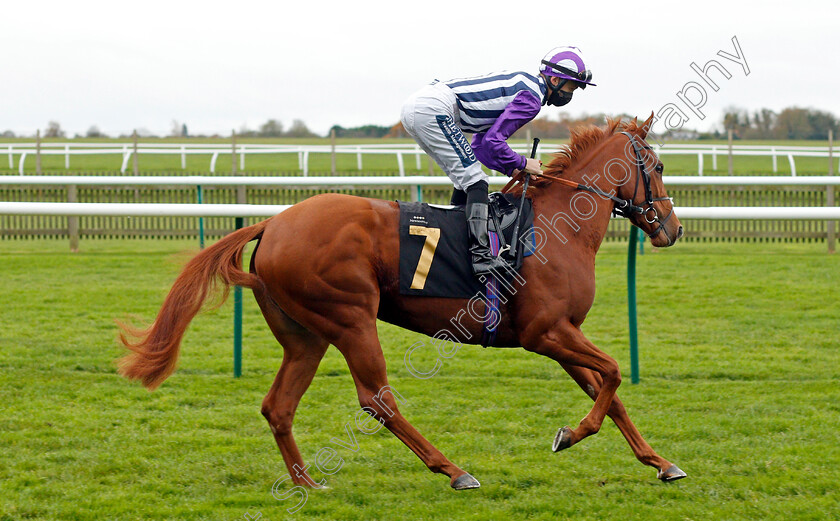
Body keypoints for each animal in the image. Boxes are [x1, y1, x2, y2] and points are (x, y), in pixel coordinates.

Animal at [118, 116, 684, 490]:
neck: (554, 227)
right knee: (377, 399)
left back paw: (306, 484)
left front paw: (661, 463)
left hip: (305, 336)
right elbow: (612, 373)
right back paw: (453, 470)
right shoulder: (544, 332)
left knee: (278, 405)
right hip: (350, 318)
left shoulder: (562, 332)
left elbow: (611, 391)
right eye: (656, 165)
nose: (674, 230)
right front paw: (570, 434)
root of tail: (274, 222)